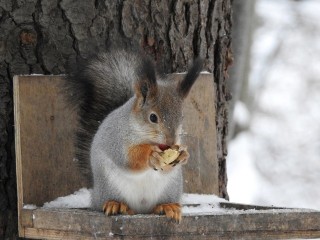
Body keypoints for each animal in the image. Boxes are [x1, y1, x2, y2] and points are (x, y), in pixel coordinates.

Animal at [63, 47, 201, 222]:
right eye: (153, 117)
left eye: (182, 117)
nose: (171, 141)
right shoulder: (116, 138)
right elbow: (128, 159)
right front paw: (151, 155)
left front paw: (184, 154)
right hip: (110, 186)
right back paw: (116, 204)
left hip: (171, 188)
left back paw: (166, 206)